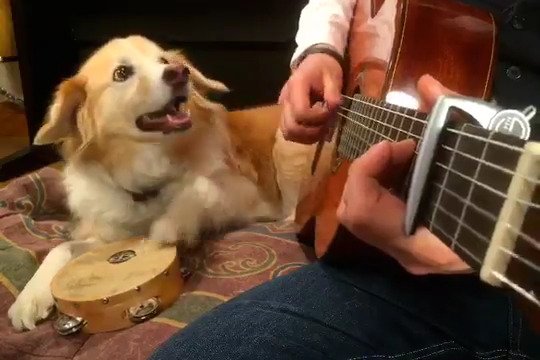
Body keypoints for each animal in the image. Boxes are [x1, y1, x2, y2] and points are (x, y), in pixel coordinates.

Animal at [7, 35, 316, 330]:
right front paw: (30, 297)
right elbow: (62, 248)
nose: (180, 73)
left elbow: (198, 188)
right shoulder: (110, 236)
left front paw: (170, 226)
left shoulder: (244, 192)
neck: (147, 167)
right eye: (122, 72)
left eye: (164, 60)